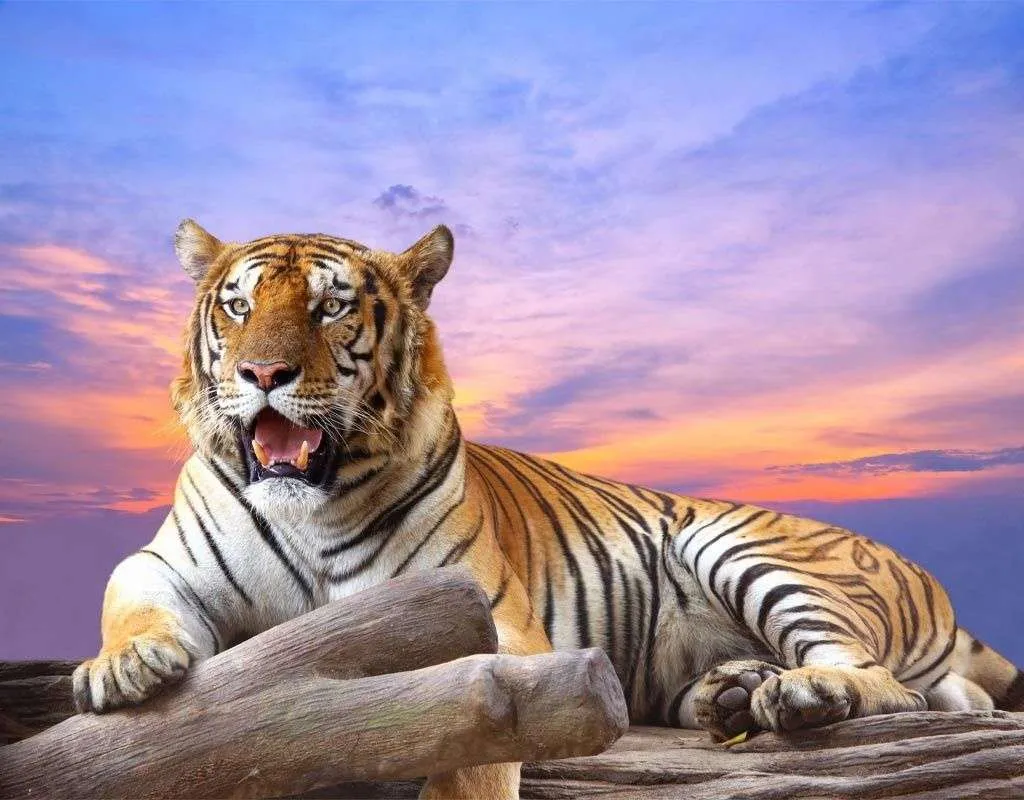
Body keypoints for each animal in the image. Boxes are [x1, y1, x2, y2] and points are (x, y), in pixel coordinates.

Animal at [73, 220, 1024, 799]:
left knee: (894, 684)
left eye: (330, 305)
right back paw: (732, 694)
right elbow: (132, 597)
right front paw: (124, 669)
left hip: (739, 543)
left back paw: (799, 694)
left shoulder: (490, 629)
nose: (261, 373)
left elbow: (472, 736)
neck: (309, 505)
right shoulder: (168, 562)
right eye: (238, 306)